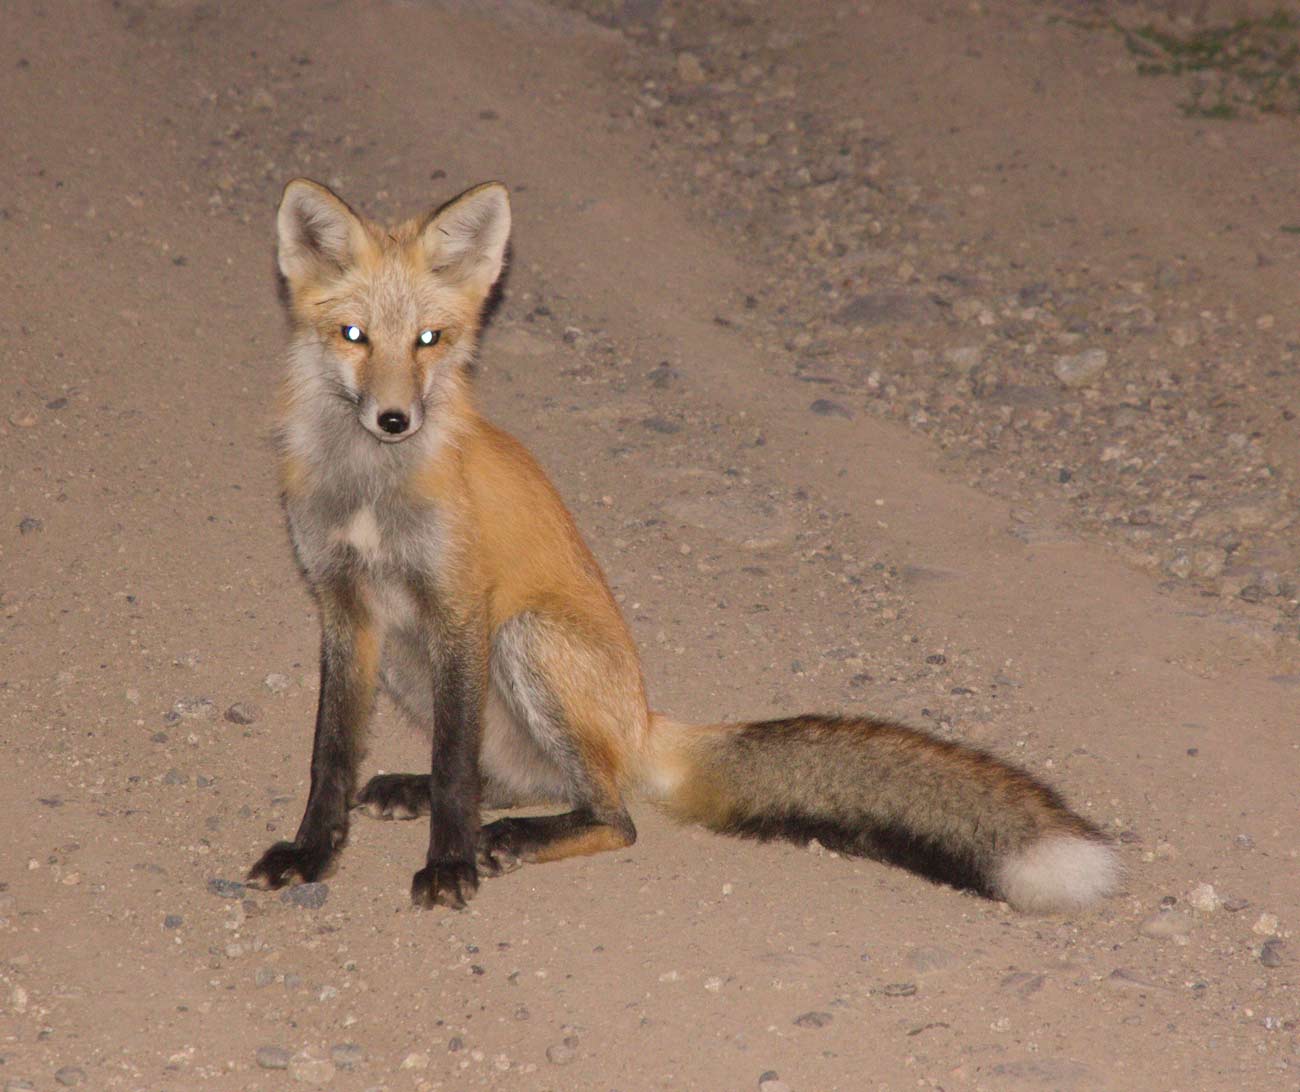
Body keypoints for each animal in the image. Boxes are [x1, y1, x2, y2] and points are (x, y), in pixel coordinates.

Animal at [247, 177, 1120, 914]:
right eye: (353, 336)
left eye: (430, 339)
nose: (396, 420)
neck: (371, 493)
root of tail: (643, 719)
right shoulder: (344, 606)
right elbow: (332, 756)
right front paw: (312, 854)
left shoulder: (460, 606)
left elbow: (456, 767)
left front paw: (450, 864)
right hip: (407, 654)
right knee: (516, 778)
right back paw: (426, 792)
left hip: (522, 638)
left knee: (606, 812)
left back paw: (510, 838)